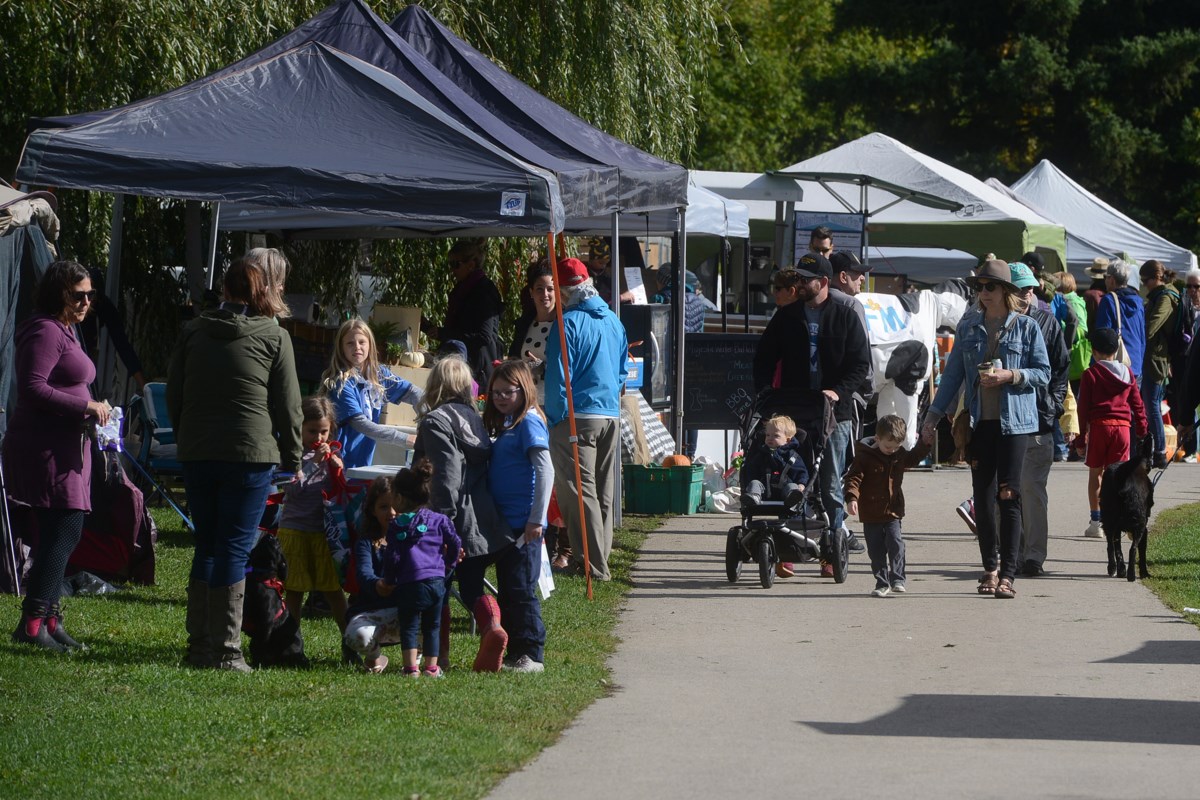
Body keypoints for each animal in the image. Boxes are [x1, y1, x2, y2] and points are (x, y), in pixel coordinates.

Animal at [1099, 434, 1152, 585]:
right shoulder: (1144, 529)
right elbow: (1141, 552)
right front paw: (1144, 573)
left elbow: (1118, 549)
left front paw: (1121, 570)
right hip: (1138, 524)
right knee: (1131, 549)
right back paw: (1128, 574)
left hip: (1110, 520)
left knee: (1113, 546)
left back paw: (1118, 570)